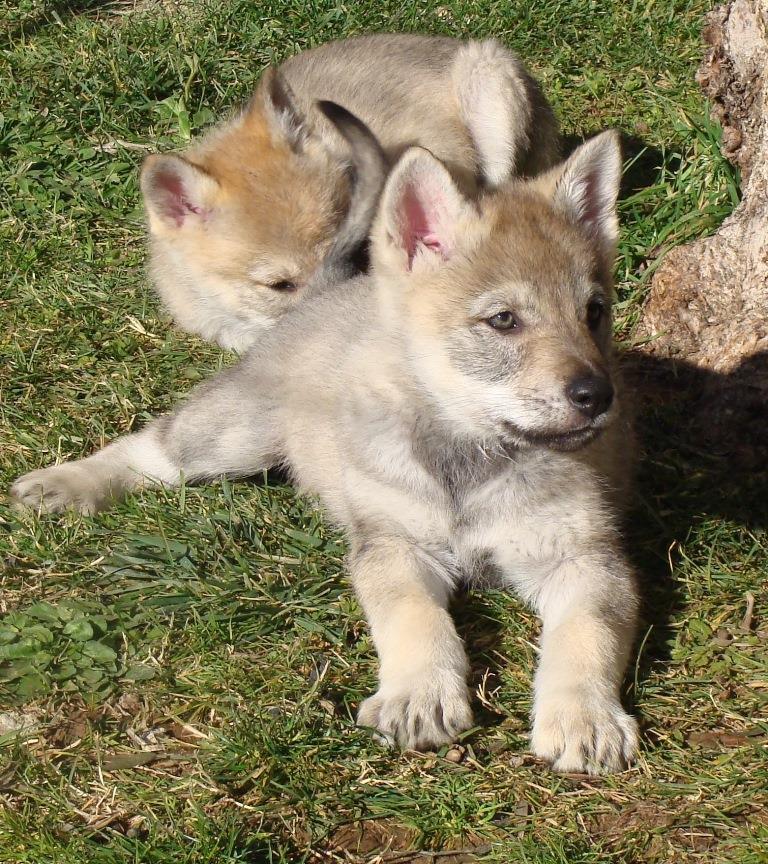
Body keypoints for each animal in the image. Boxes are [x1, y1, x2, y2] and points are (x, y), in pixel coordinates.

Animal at [12, 115, 638, 774]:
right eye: (504, 320)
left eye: (594, 311)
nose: (597, 395)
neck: (468, 459)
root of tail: (322, 290)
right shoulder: (394, 546)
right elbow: (416, 619)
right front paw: (418, 694)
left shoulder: (586, 559)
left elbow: (586, 636)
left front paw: (586, 718)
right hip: (231, 436)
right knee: (151, 448)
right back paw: (64, 485)